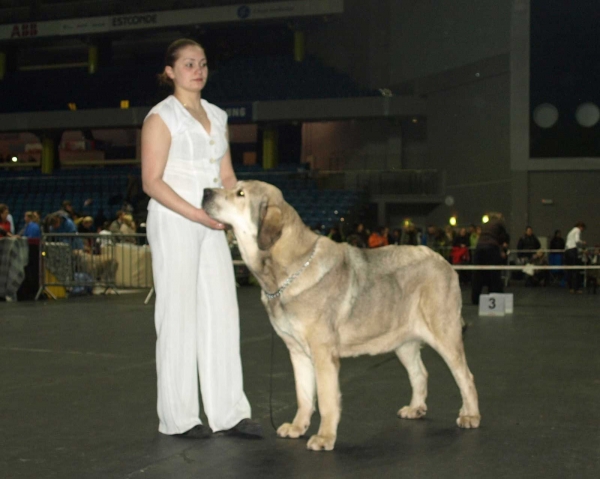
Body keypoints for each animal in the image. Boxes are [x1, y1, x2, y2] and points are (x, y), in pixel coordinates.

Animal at [204, 181, 480, 454]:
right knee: (420, 373)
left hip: (444, 334)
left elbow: (326, 400)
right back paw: (416, 408)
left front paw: (324, 438)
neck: (289, 268)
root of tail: (443, 261)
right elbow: (304, 395)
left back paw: (470, 416)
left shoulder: (323, 353)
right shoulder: (297, 352)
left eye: (240, 193)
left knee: (465, 376)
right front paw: (298, 427)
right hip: (403, 343)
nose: (206, 192)